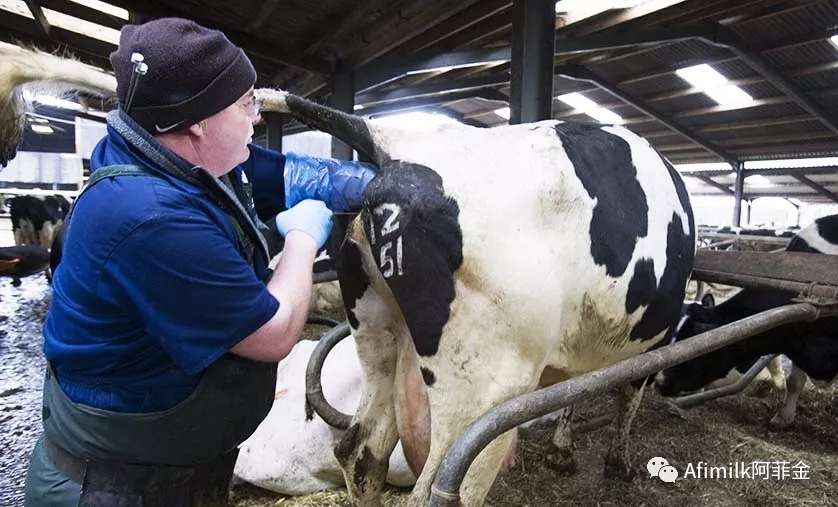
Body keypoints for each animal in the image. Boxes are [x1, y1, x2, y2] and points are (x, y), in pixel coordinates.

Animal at [260, 89, 700, 506]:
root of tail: (395, 145)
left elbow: (578, 390)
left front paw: (562, 452)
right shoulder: (651, 342)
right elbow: (628, 396)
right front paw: (618, 463)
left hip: (376, 336)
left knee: (361, 450)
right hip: (485, 387)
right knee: (438, 491)